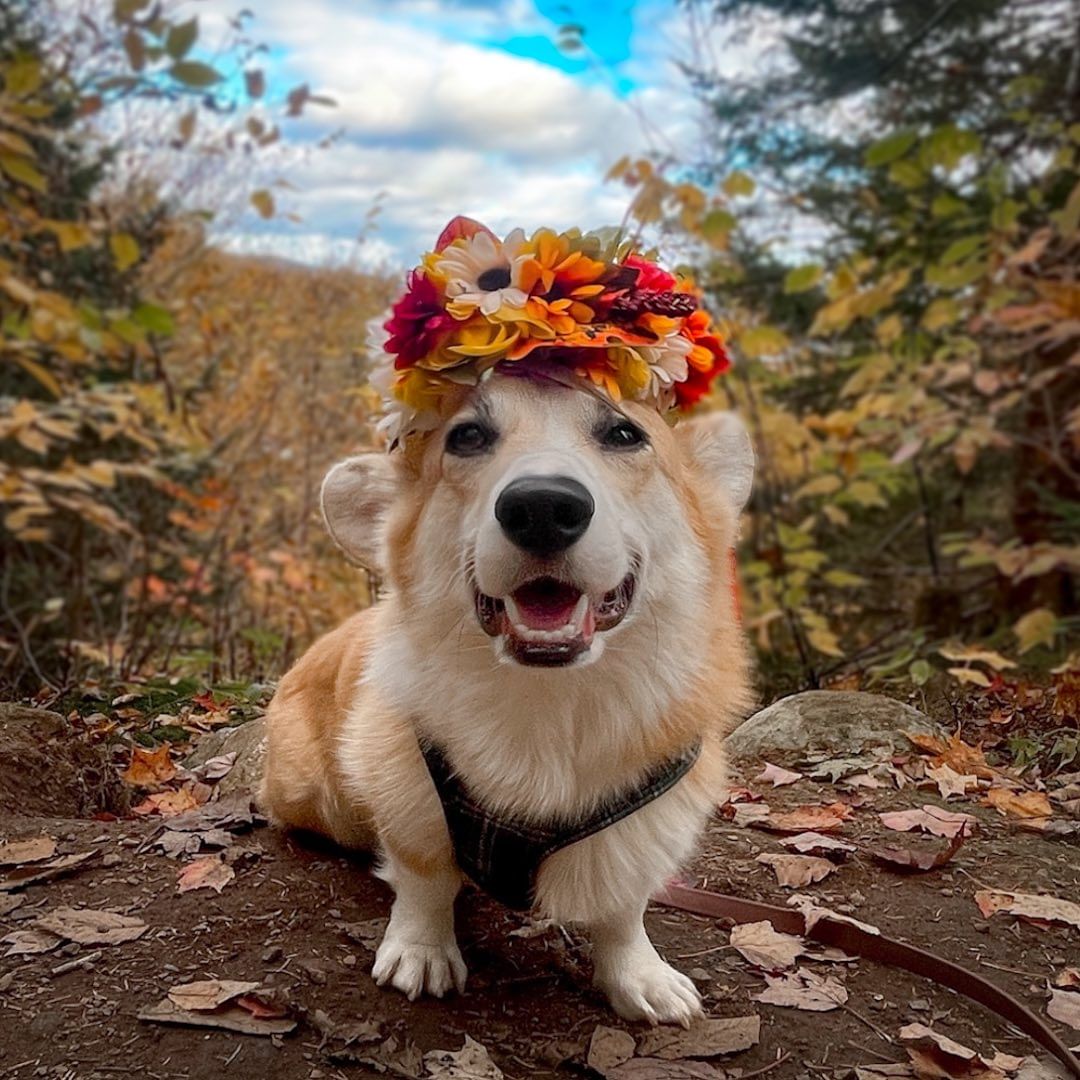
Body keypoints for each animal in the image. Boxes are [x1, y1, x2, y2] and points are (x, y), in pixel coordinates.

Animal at [260, 373, 751, 1028]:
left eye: (624, 434)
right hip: (312, 796)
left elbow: (623, 911)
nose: (542, 508)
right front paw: (421, 951)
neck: (549, 701)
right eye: (467, 436)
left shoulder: (644, 821)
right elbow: (424, 881)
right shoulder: (406, 796)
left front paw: (641, 977)